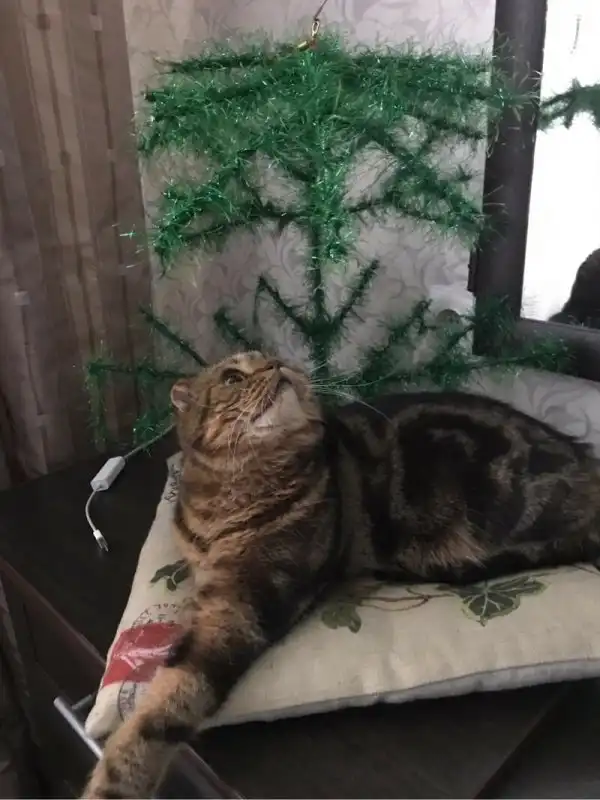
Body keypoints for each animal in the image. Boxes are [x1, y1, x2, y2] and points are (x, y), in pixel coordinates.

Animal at [82, 350, 600, 798]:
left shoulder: (242, 606)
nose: (276, 365)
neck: (229, 493)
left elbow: (167, 700)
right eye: (231, 377)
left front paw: (114, 782)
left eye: (274, 358)